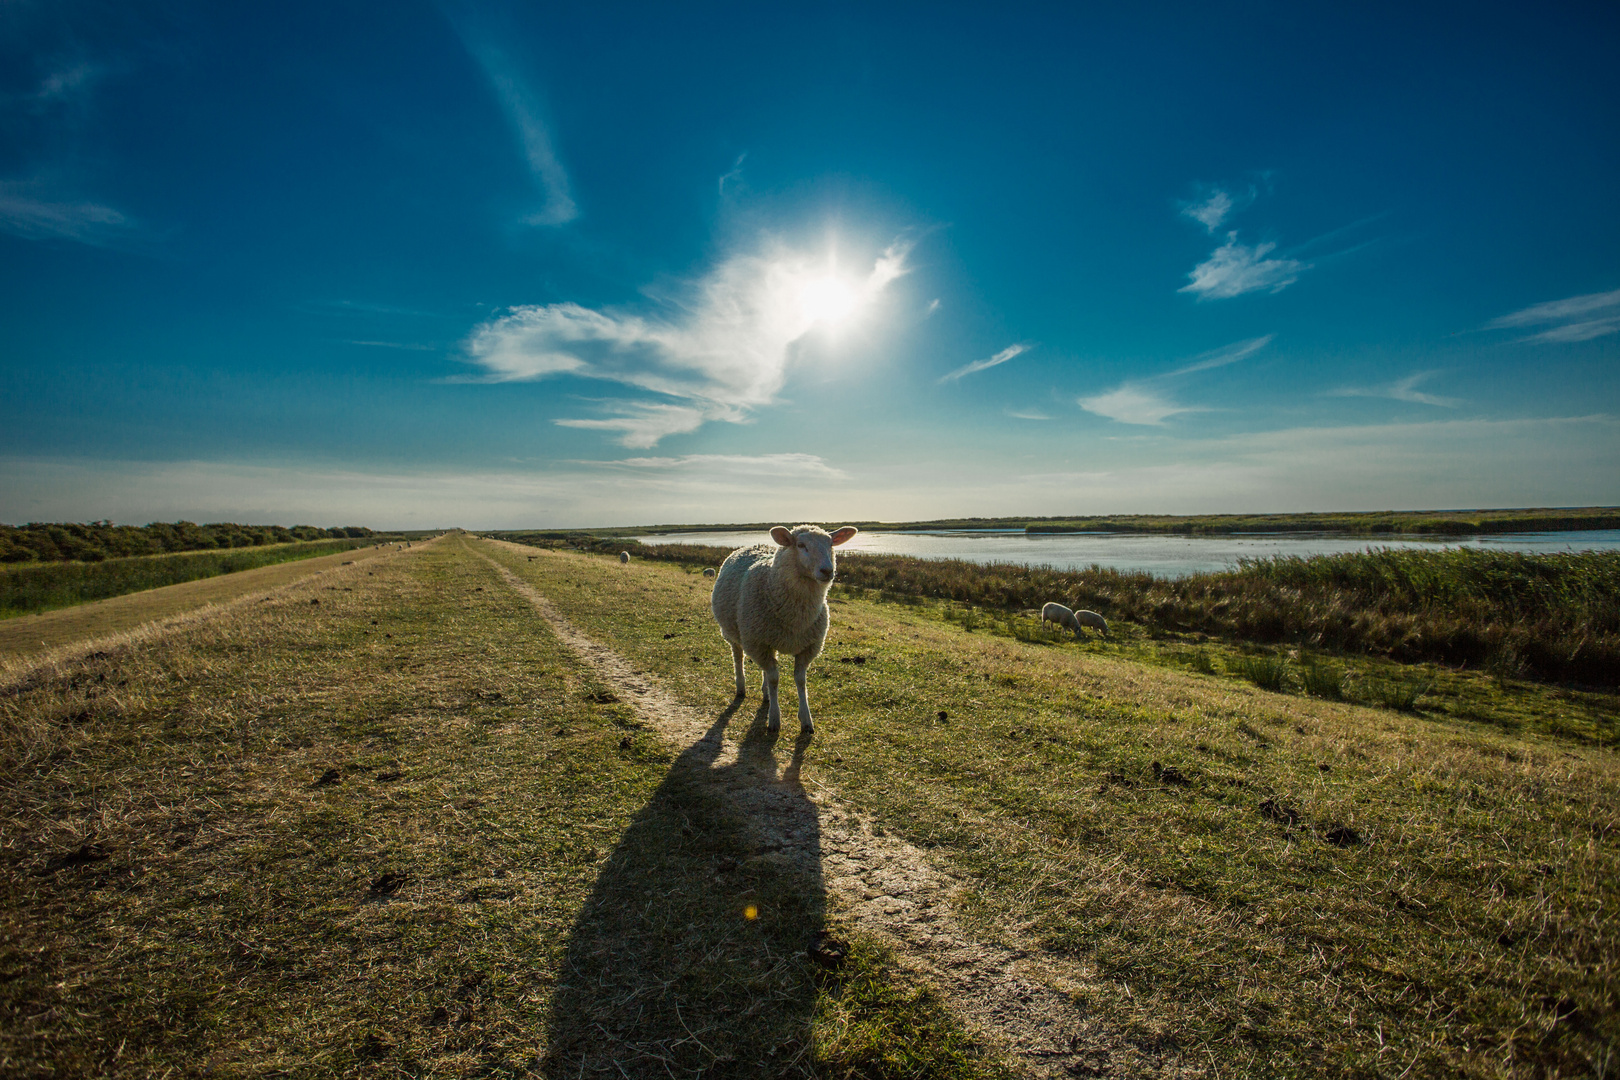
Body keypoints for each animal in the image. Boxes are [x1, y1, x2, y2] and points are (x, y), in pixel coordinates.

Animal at [712, 524, 861, 735]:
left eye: (830, 544)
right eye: (801, 545)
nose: (827, 571)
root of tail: (753, 545)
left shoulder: (808, 647)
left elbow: (800, 680)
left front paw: (806, 720)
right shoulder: (758, 642)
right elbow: (775, 679)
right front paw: (774, 719)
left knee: (766, 669)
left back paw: (765, 693)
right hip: (734, 633)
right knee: (738, 657)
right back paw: (741, 687)